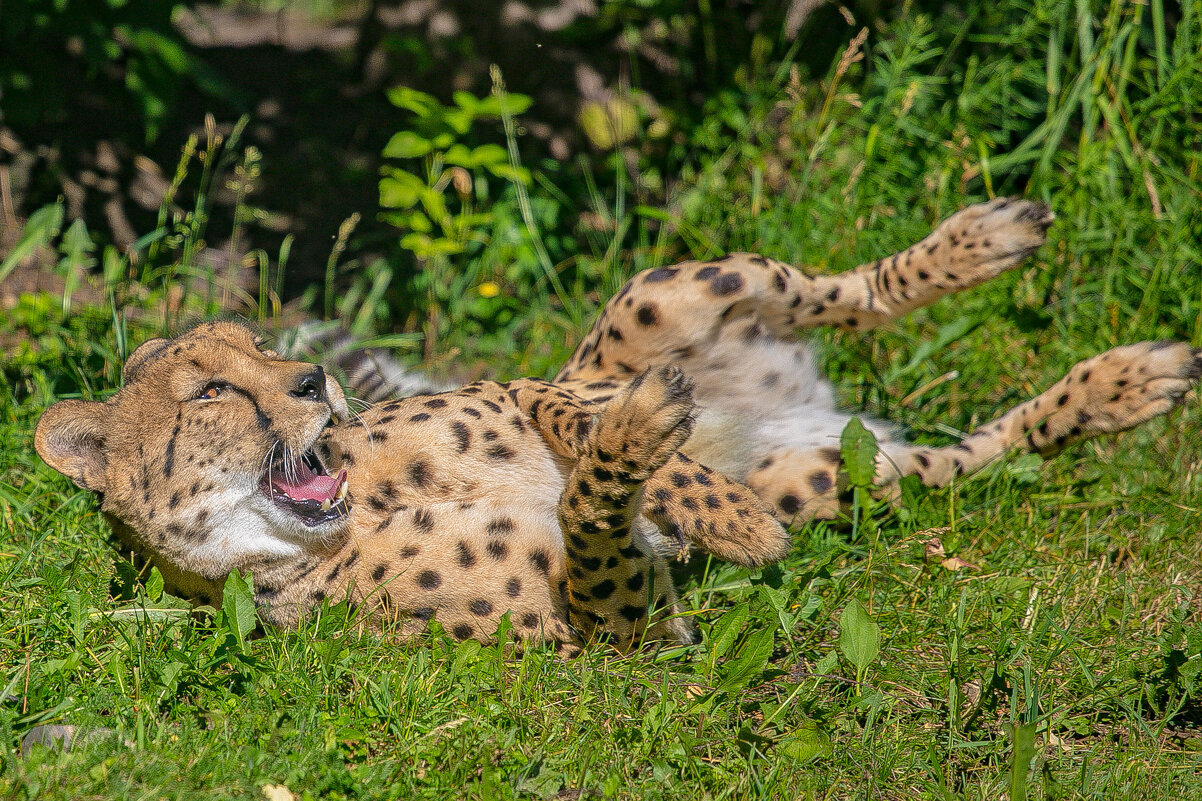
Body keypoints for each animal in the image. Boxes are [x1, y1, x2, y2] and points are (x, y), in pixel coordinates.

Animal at [37, 198, 1202, 649]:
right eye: (211, 392)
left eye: (259, 345)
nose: (316, 378)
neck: (354, 515)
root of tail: (793, 403)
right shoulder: (620, 632)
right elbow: (597, 512)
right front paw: (675, 476)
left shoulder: (519, 385)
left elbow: (566, 408)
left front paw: (698, 491)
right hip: (846, 477)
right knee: (982, 449)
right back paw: (1121, 386)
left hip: (667, 290)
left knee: (851, 291)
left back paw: (986, 237)